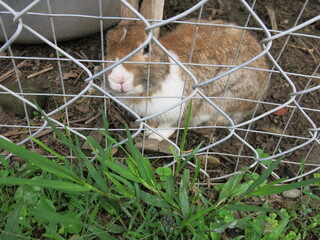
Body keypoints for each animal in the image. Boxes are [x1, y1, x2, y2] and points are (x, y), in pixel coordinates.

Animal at [105, 0, 268, 142]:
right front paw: (149, 128)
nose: (118, 78)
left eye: (146, 48)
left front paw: (155, 136)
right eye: (107, 44)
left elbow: (170, 126)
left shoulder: (183, 108)